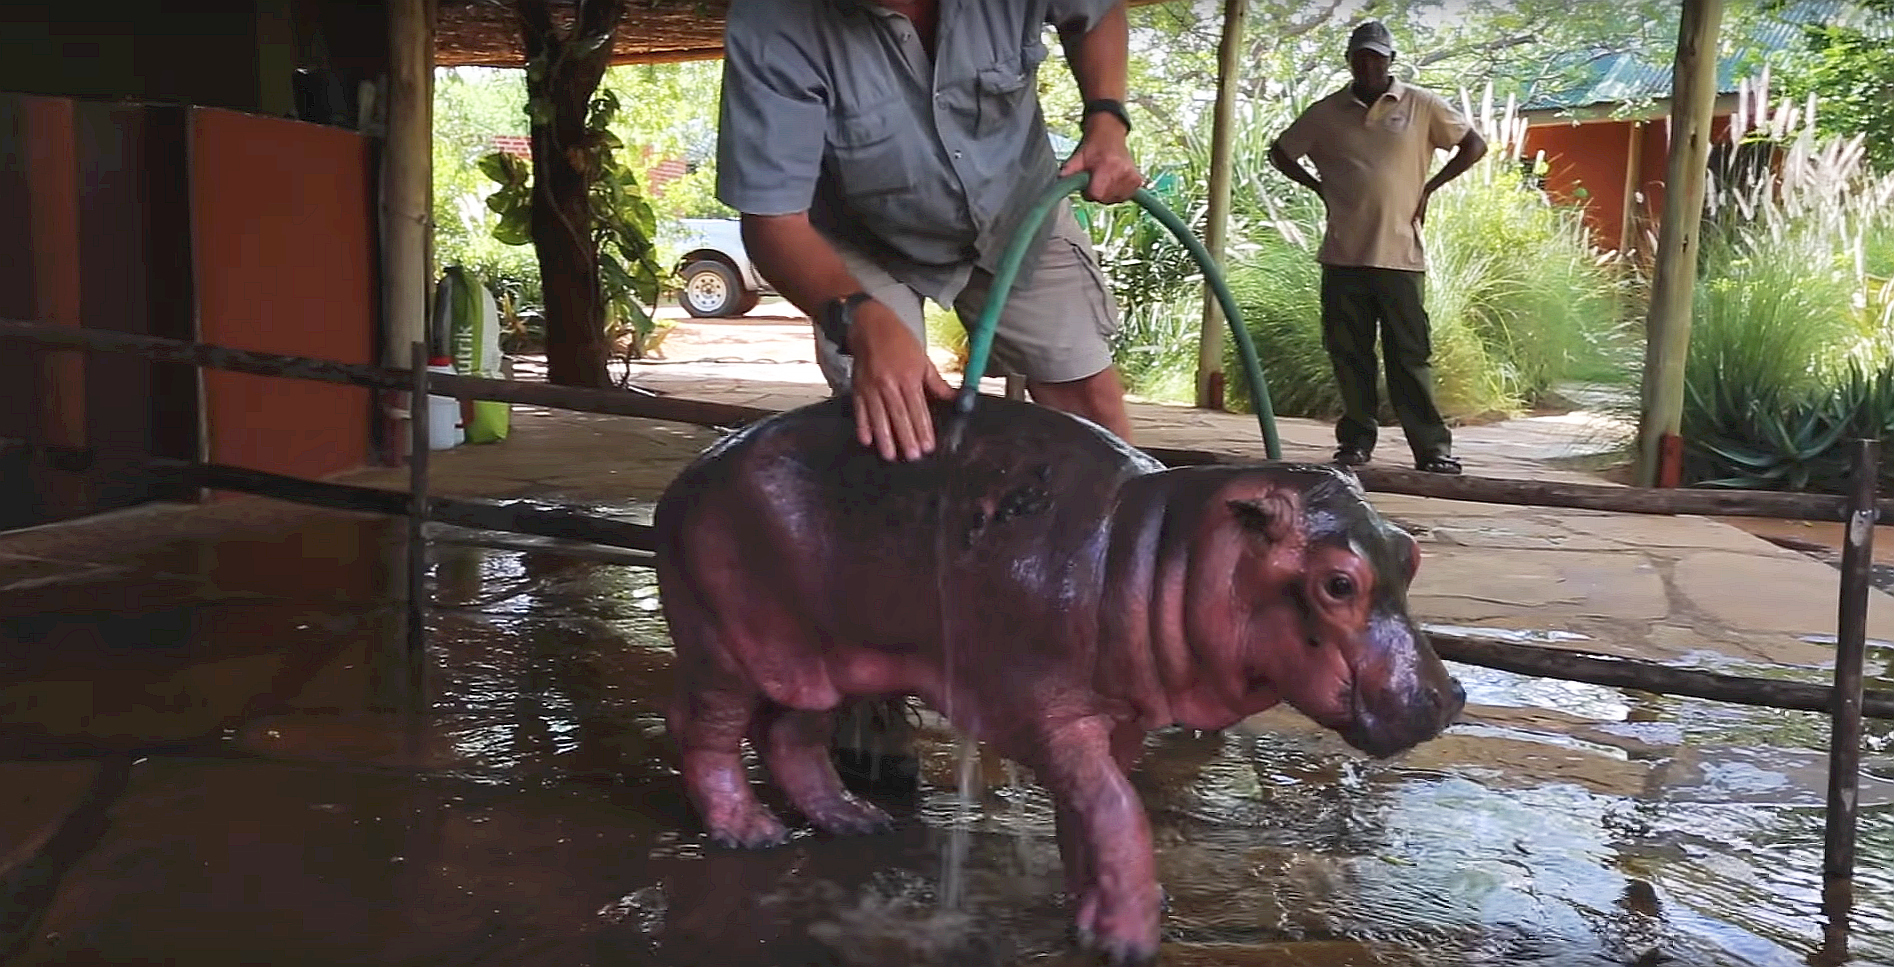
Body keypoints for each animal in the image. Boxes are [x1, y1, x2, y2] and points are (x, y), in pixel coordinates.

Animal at [653, 394, 1464, 964]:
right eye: (1338, 583)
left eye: (1408, 551)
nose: (1449, 696)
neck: (1160, 554)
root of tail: (687, 475)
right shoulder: (1049, 711)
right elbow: (1117, 808)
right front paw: (1130, 942)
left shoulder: (1119, 714)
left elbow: (1094, 811)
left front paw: (1093, 911)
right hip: (725, 647)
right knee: (704, 730)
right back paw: (751, 835)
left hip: (827, 658)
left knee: (791, 735)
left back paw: (858, 820)